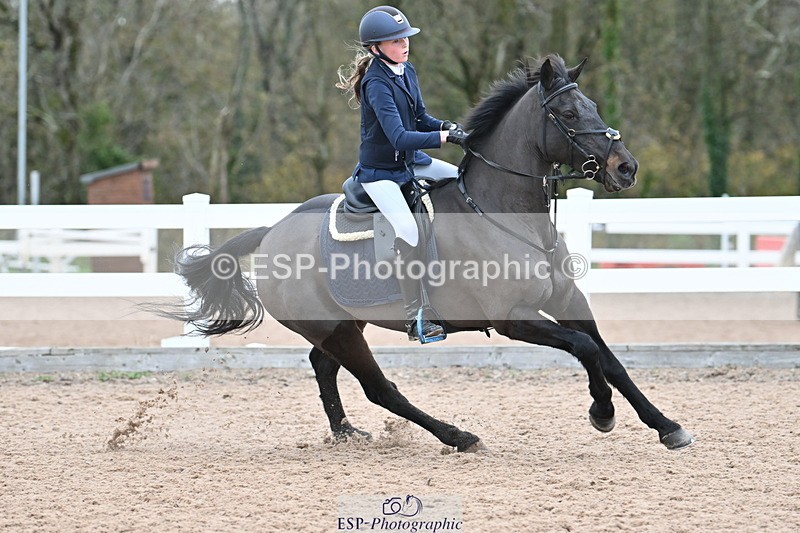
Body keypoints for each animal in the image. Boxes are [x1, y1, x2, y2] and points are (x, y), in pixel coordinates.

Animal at [160, 55, 694, 452]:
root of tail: (273, 229)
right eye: (565, 115)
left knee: (324, 366)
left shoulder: (568, 301)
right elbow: (585, 349)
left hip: (344, 323)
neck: (506, 213)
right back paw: (458, 436)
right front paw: (602, 412)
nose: (626, 168)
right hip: (338, 330)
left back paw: (346, 434)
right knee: (379, 388)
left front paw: (667, 426)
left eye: (593, 105)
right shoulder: (513, 318)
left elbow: (609, 358)